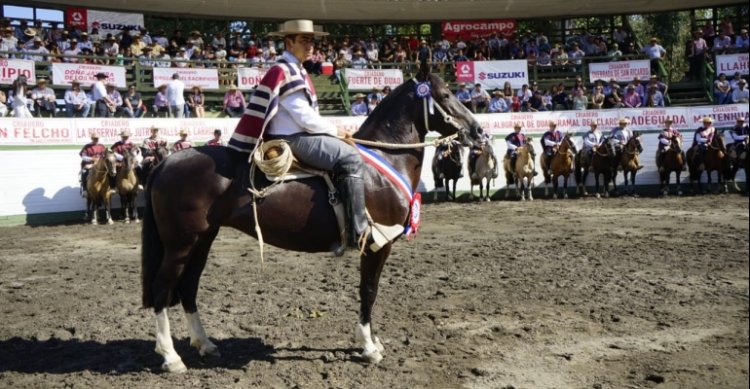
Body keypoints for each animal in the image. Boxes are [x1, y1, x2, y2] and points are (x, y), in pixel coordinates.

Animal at [140, 67, 482, 372]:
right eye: (446, 94)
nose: (478, 131)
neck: (383, 162)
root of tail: (167, 161)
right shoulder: (377, 244)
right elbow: (369, 290)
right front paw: (368, 346)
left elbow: (369, 291)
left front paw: (373, 341)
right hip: (180, 244)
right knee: (162, 287)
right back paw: (171, 357)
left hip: (202, 240)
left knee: (188, 286)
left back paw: (204, 344)